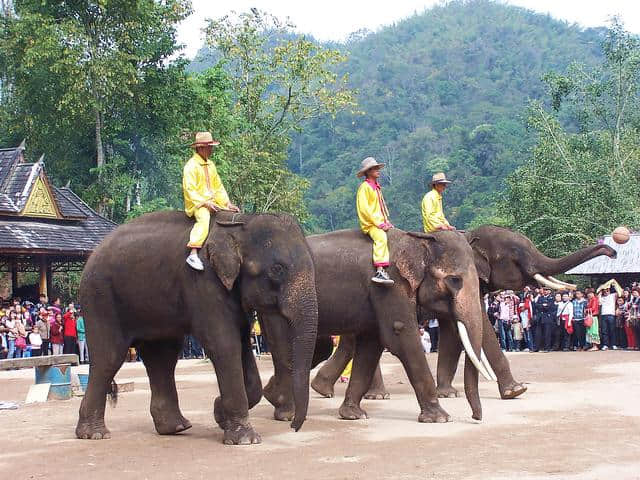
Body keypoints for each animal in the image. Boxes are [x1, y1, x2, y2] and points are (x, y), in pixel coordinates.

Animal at [75, 212, 318, 444]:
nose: (293, 426)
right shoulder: (204, 284)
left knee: (162, 357)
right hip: (99, 297)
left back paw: (176, 428)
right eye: (277, 269)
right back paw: (95, 434)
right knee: (109, 358)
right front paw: (245, 439)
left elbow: (242, 346)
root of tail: (93, 253)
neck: (241, 223)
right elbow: (224, 345)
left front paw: (219, 413)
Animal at [260, 229, 490, 424]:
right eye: (455, 280)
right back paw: (287, 413)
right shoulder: (390, 286)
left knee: (315, 349)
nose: (476, 418)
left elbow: (371, 344)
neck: (417, 239)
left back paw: (273, 395)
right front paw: (440, 418)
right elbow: (401, 335)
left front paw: (354, 415)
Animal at [312, 225, 616, 402]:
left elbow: (453, 332)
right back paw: (372, 396)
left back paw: (324, 389)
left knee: (353, 342)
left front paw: (448, 393)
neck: (467, 237)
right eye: (515, 256)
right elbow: (481, 328)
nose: (611, 249)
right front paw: (516, 391)